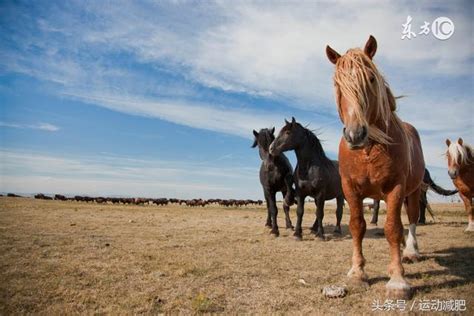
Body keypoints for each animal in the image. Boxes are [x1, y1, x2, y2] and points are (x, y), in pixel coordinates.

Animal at [326, 35, 426, 298]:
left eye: (370, 78)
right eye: (337, 84)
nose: (355, 134)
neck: (369, 149)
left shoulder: (396, 188)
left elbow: (392, 228)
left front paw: (398, 280)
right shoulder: (350, 189)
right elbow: (357, 226)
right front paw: (357, 272)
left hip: (413, 191)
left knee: (411, 219)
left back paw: (410, 252)